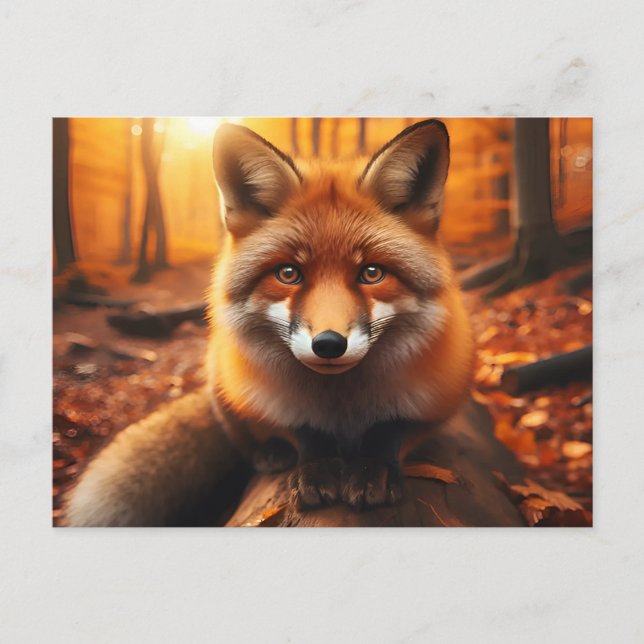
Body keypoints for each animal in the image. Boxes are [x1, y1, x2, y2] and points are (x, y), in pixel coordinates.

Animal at [64, 118, 474, 526]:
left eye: (372, 273)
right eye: (288, 273)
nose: (328, 344)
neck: (342, 405)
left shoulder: (438, 401)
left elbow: (390, 430)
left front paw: (373, 469)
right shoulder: (265, 399)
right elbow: (302, 430)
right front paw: (317, 467)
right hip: (220, 376)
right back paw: (272, 454)